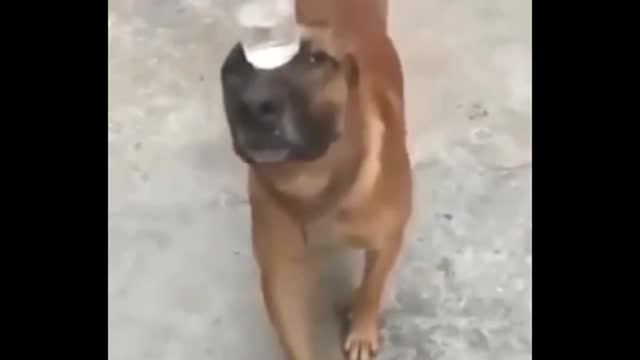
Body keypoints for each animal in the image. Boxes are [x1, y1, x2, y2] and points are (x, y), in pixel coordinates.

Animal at [220, 1, 410, 358]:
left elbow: (371, 287)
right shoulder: (280, 275)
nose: (255, 105)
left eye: (315, 59)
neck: (312, 181)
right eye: (234, 69)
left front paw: (362, 330)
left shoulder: (388, 238)